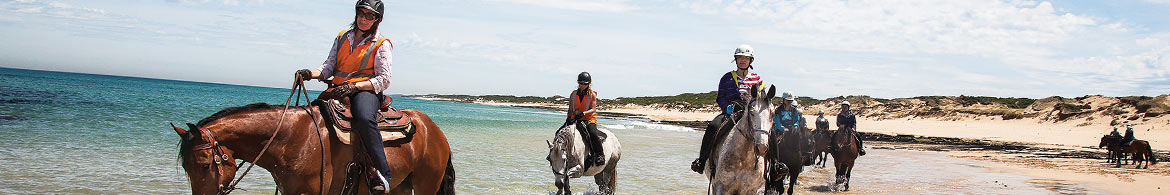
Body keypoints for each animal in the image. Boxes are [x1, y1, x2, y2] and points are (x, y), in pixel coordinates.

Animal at [170, 102, 453, 193]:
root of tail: (435, 131)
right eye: (186, 168)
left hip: (427, 184)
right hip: (400, 187)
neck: (290, 139)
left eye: (204, 165)